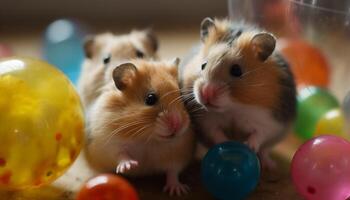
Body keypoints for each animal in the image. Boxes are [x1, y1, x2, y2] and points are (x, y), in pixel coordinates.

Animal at [85, 58, 194, 196]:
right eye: (150, 99)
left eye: (181, 97)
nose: (178, 125)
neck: (148, 139)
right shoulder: (109, 143)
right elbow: (121, 154)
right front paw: (130, 166)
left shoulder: (177, 154)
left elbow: (173, 172)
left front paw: (178, 191)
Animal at [180, 17, 296, 168]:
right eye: (203, 65)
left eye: (236, 70)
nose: (206, 93)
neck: (234, 107)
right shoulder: (207, 120)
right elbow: (216, 133)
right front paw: (227, 144)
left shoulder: (269, 121)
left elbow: (259, 134)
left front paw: (248, 146)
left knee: (265, 150)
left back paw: (271, 165)